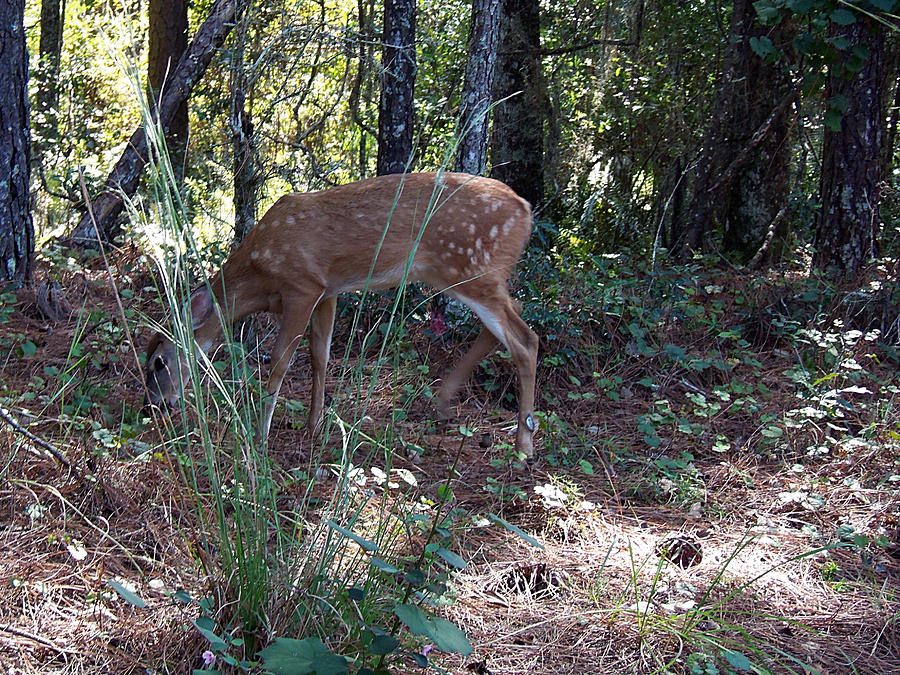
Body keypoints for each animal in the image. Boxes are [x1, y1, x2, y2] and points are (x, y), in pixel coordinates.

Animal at [146, 174, 540, 460]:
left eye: (158, 362)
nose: (156, 406)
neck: (259, 275)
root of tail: (526, 209)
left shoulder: (301, 286)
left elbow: (280, 363)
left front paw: (259, 437)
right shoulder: (328, 291)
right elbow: (319, 356)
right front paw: (313, 426)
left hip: (470, 266)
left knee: (525, 339)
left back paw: (523, 447)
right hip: (462, 275)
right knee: (512, 319)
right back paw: (443, 402)